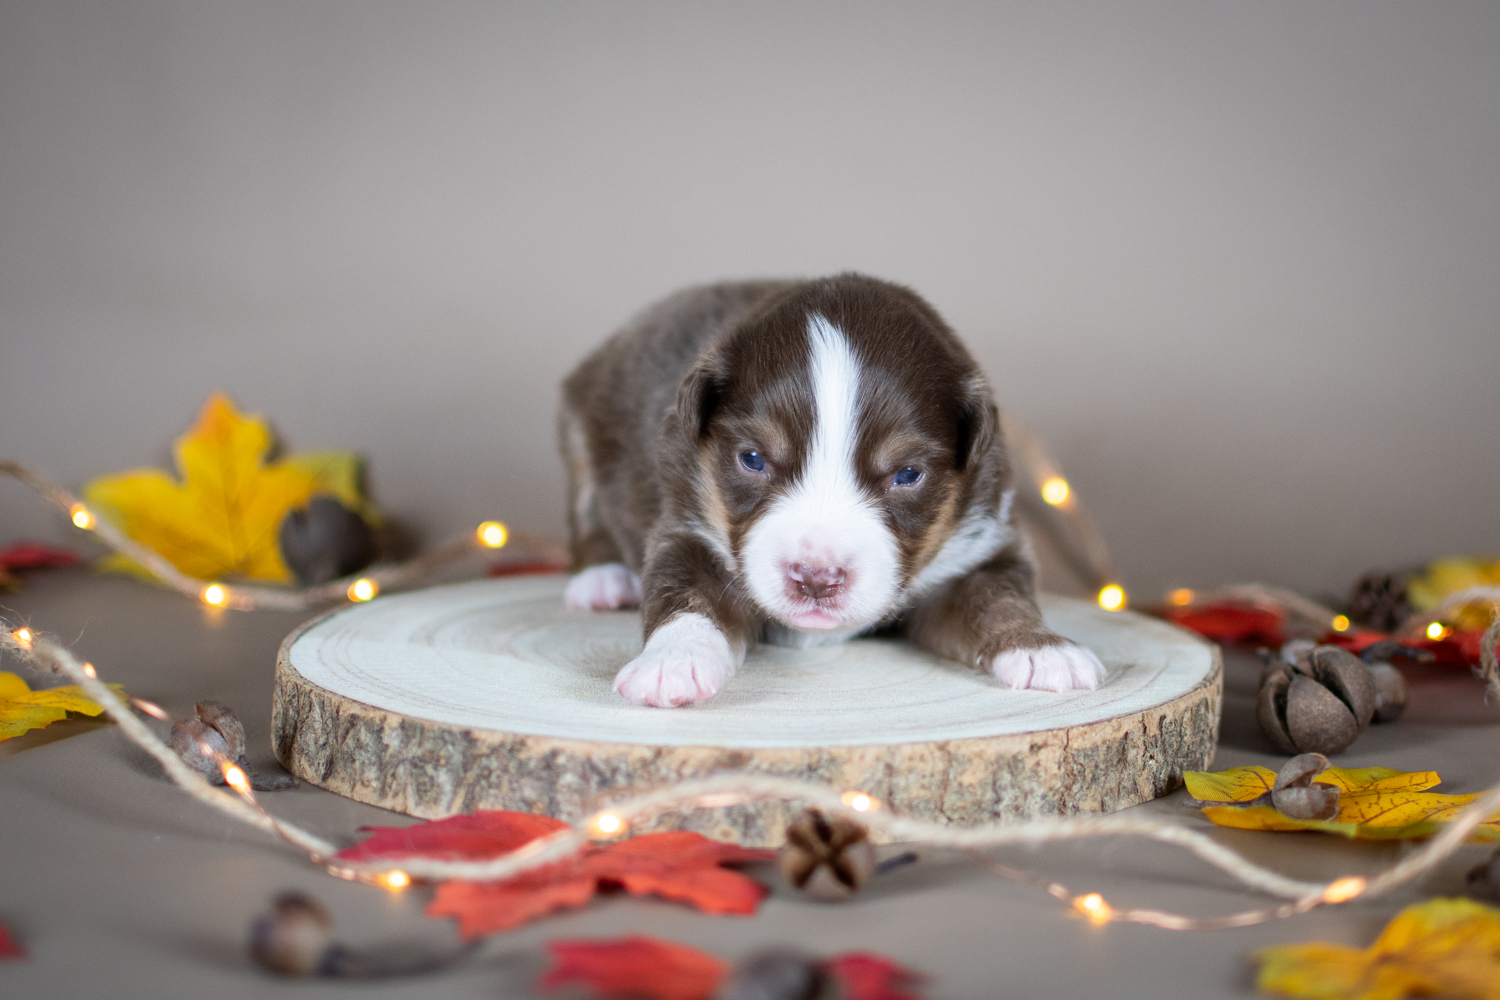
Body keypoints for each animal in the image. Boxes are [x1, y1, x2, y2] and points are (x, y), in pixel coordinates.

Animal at [558, 274, 1110, 707]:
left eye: (907, 474)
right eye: (753, 460)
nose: (816, 578)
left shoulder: (979, 548)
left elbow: (1000, 598)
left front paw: (1043, 648)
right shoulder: (687, 526)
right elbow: (685, 593)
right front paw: (673, 661)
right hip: (578, 424)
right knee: (586, 516)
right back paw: (603, 579)